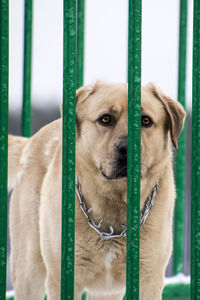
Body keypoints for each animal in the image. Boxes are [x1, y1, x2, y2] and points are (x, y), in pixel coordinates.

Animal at [8, 81, 186, 298]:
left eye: (145, 120)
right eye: (105, 119)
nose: (128, 148)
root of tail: (31, 141)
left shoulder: (148, 279)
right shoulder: (63, 278)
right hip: (29, 270)